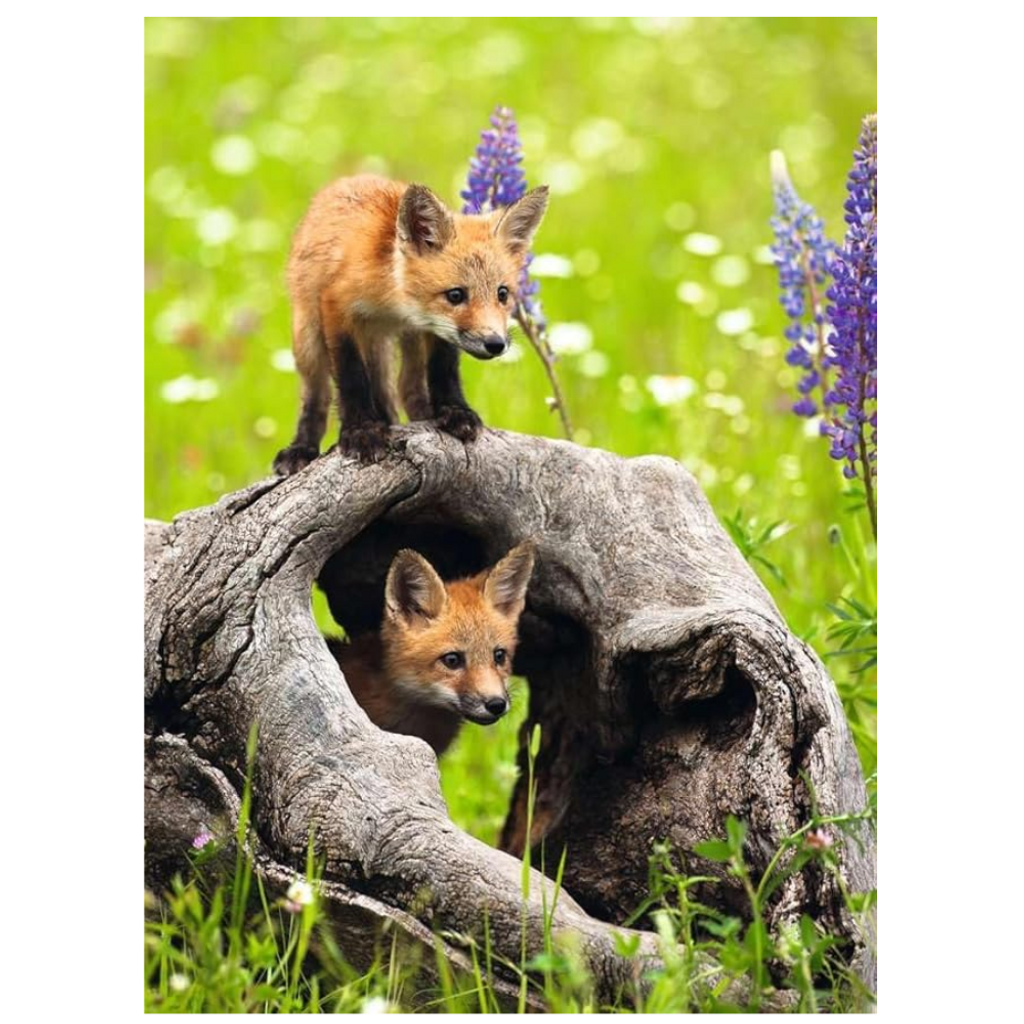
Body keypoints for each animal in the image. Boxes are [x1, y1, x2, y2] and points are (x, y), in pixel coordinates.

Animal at [273, 175, 550, 474]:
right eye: (455, 295)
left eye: (503, 294)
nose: (495, 344)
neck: (393, 299)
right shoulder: (336, 306)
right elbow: (352, 377)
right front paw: (362, 430)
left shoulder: (435, 330)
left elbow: (443, 370)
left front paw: (455, 411)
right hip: (308, 336)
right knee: (317, 397)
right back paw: (301, 448)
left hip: (409, 343)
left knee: (408, 387)